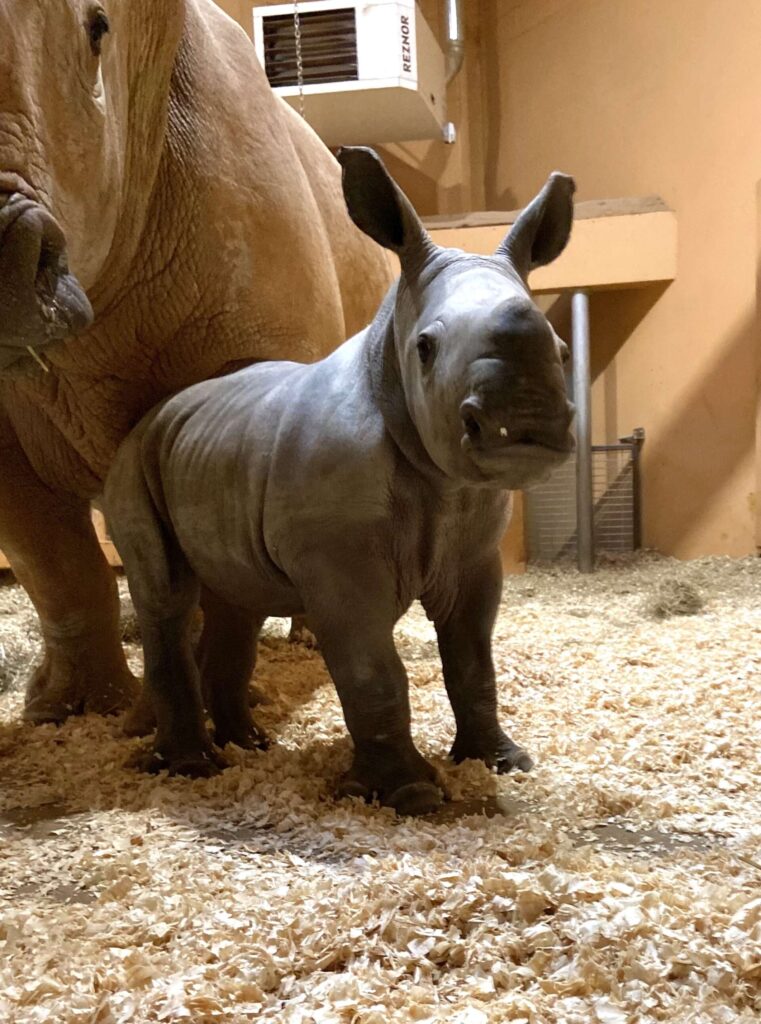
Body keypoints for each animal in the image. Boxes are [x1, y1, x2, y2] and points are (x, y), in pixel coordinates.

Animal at [104, 148, 576, 816]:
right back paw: (194, 769)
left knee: (237, 601)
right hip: (133, 465)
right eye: (425, 348)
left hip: (211, 452)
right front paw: (409, 795)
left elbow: (472, 659)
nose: (525, 425)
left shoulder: (475, 553)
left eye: (561, 351)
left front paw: (500, 761)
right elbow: (372, 671)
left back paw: (252, 746)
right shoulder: (340, 562)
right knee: (167, 597)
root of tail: (151, 416)